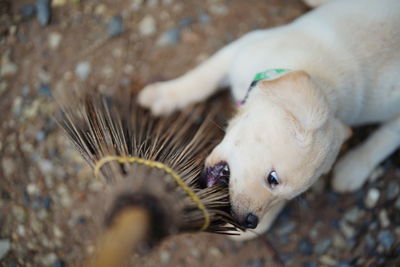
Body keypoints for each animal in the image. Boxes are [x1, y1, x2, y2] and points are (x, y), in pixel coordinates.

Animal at [138, 0, 400, 241]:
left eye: (289, 197)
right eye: (272, 179)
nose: (250, 222)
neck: (325, 86)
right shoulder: (241, 49)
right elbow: (203, 78)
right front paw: (164, 95)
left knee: (387, 136)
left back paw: (353, 167)